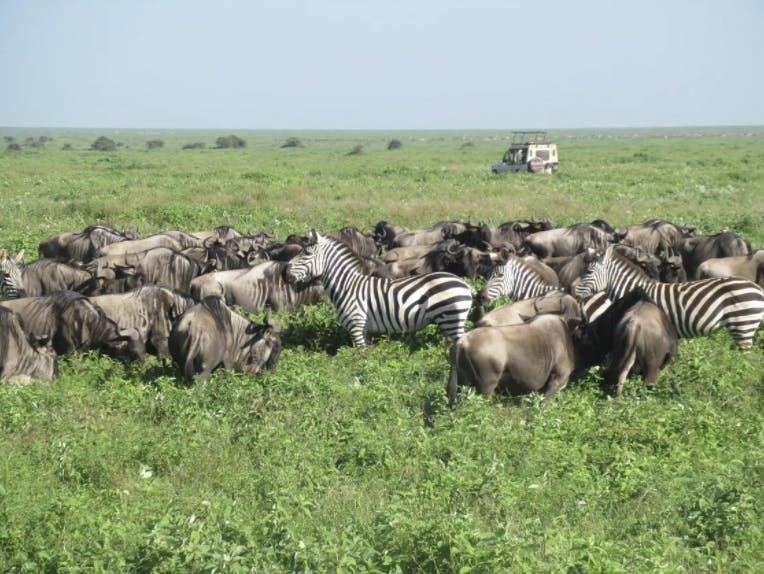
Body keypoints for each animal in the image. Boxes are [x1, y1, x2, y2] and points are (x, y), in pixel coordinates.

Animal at [284, 232, 474, 348]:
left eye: (307, 254)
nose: (284, 272)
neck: (347, 285)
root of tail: (465, 285)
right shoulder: (363, 328)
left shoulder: (356, 324)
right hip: (449, 321)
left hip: (452, 319)